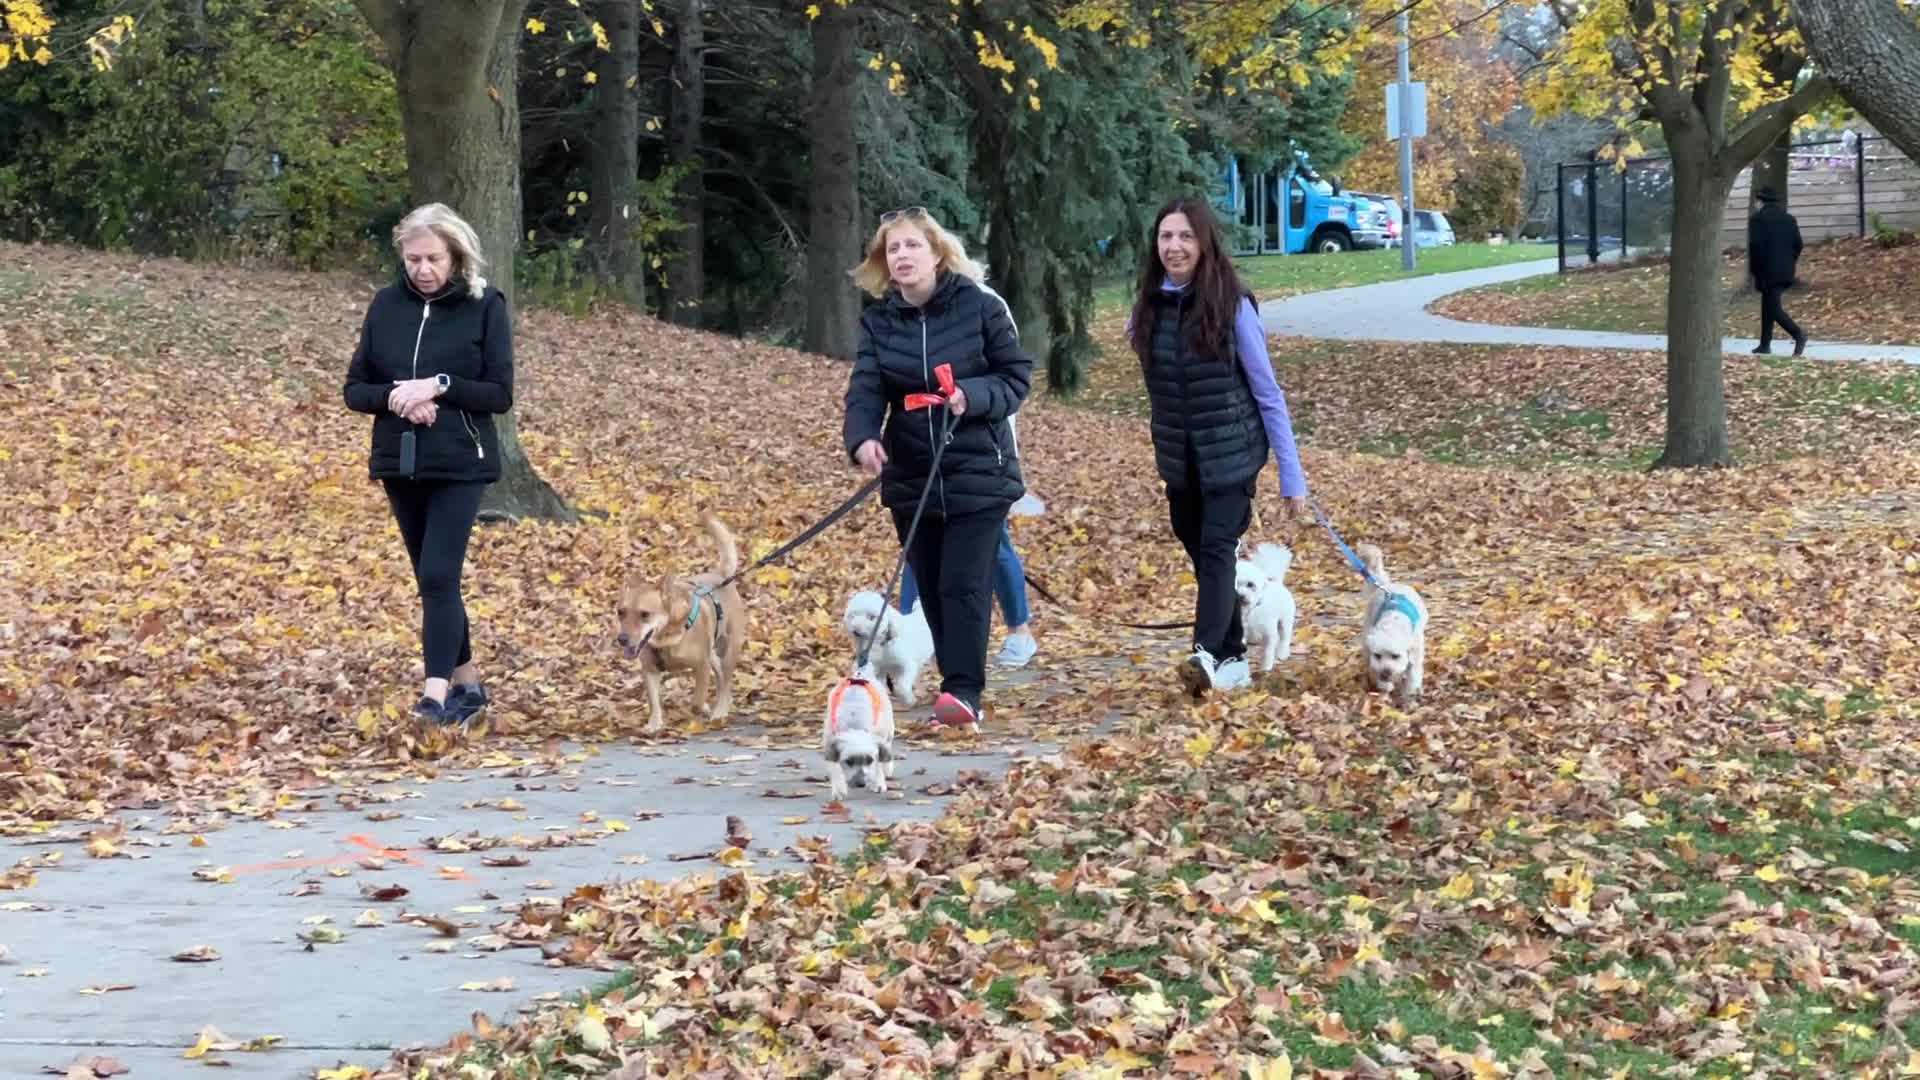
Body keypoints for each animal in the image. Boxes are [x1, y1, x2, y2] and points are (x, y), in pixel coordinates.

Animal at [618, 511, 744, 730]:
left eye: (644, 614)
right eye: (620, 612)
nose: (622, 639)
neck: (665, 639)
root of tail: (721, 575)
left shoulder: (701, 666)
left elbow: (696, 702)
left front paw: (703, 709)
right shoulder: (650, 671)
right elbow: (654, 702)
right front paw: (654, 723)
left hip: (729, 649)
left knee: (726, 681)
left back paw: (720, 710)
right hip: (713, 655)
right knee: (721, 678)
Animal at [817, 657, 890, 799]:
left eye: (869, 760)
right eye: (849, 761)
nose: (861, 783)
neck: (855, 724)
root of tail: (862, 674)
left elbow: (879, 763)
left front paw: (878, 782)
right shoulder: (830, 745)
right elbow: (836, 768)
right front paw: (839, 789)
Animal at [1351, 538, 1428, 707]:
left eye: (1395, 656)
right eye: (1378, 655)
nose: (1386, 672)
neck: (1393, 622)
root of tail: (1386, 586)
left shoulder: (1415, 653)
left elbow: (1413, 675)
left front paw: (1410, 694)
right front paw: (1385, 686)